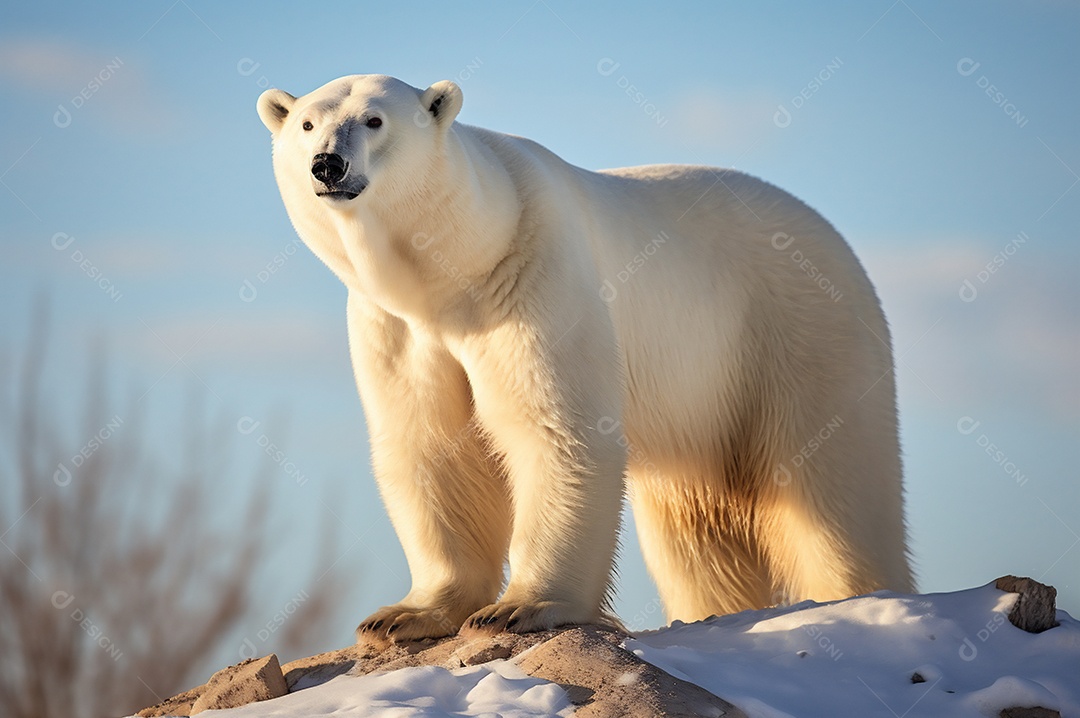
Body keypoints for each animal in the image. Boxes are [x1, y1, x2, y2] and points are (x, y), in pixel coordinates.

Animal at [257, 75, 915, 639]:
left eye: (374, 120)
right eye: (309, 124)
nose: (328, 165)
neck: (459, 266)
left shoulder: (534, 278)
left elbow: (555, 430)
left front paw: (518, 608)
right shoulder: (396, 328)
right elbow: (434, 449)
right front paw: (402, 615)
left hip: (798, 335)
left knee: (834, 493)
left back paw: (862, 596)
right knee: (696, 528)